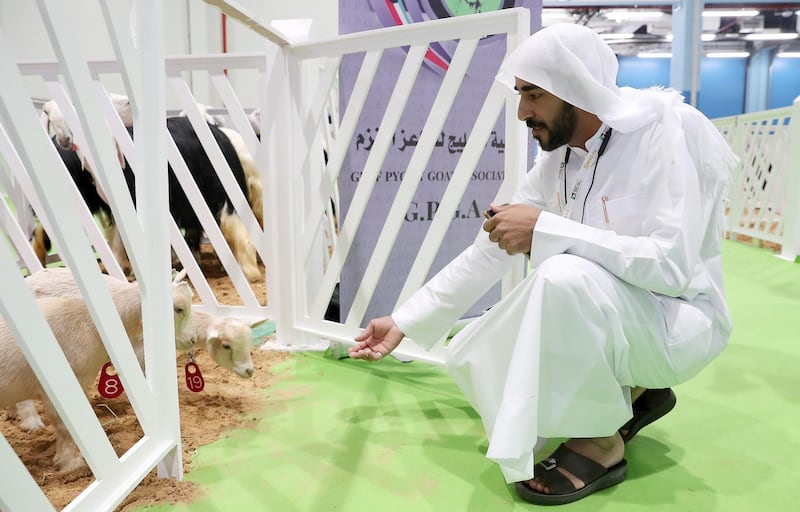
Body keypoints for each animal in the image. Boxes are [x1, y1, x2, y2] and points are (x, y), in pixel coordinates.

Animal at [0, 272, 194, 472]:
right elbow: (65, 426)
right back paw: (31, 422)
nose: (192, 340)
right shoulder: (57, 389)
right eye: (179, 309)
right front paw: (72, 464)